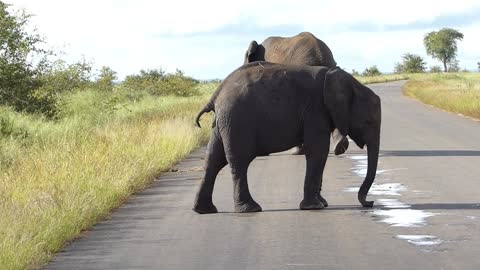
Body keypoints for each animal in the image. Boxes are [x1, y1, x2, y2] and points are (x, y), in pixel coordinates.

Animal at [193, 62, 380, 214]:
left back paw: (204, 210)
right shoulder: (316, 110)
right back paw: (250, 209)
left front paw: (323, 203)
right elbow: (318, 151)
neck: (348, 81)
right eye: (368, 121)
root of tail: (216, 94)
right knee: (239, 161)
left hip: (223, 123)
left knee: (214, 160)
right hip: (237, 120)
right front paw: (315, 207)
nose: (369, 203)